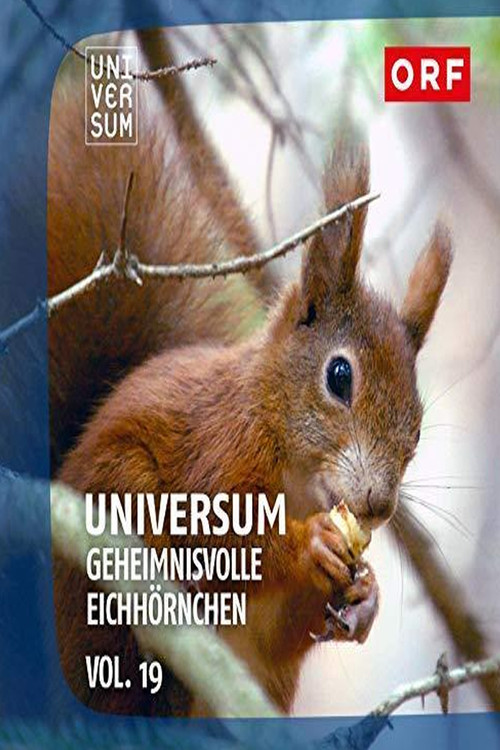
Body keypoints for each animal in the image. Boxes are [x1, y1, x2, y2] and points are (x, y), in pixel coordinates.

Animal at [48, 49, 452, 717]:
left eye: (419, 428)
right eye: (339, 376)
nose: (377, 507)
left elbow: (288, 627)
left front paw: (366, 595)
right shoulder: (216, 451)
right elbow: (216, 544)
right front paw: (310, 545)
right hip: (115, 503)